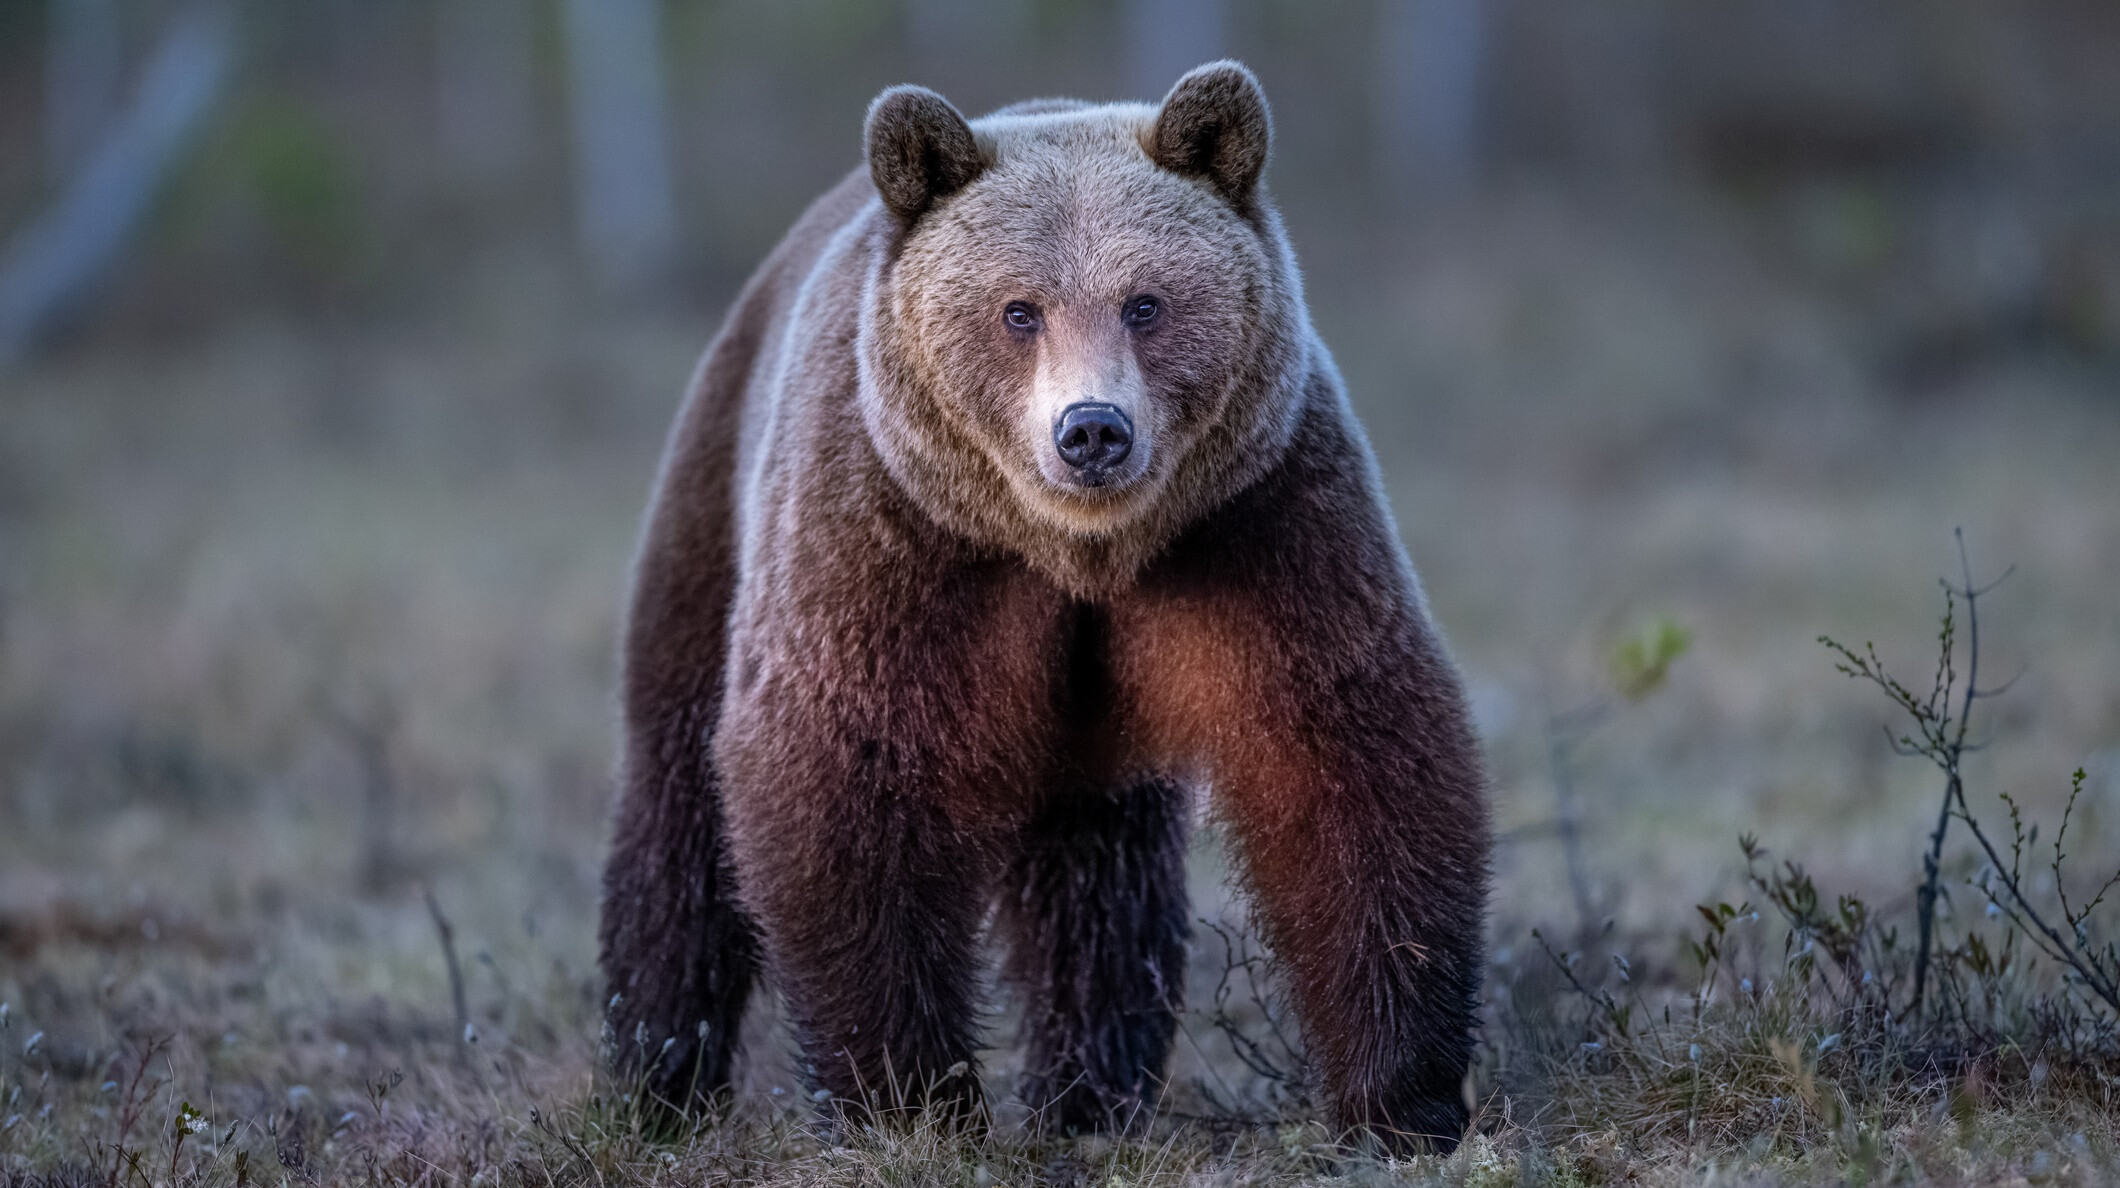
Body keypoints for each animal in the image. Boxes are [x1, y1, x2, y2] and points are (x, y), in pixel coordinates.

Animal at [597, 62, 1492, 1154]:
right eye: (1018, 310)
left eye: (1145, 303)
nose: (1092, 430)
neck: (1073, 553)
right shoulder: (889, 540)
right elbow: (843, 768)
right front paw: (905, 1099)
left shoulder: (1259, 522)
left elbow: (1345, 752)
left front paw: (1403, 1097)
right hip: (711, 507)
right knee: (676, 807)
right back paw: (655, 1079)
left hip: (1091, 725)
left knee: (1098, 878)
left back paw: (1092, 1092)